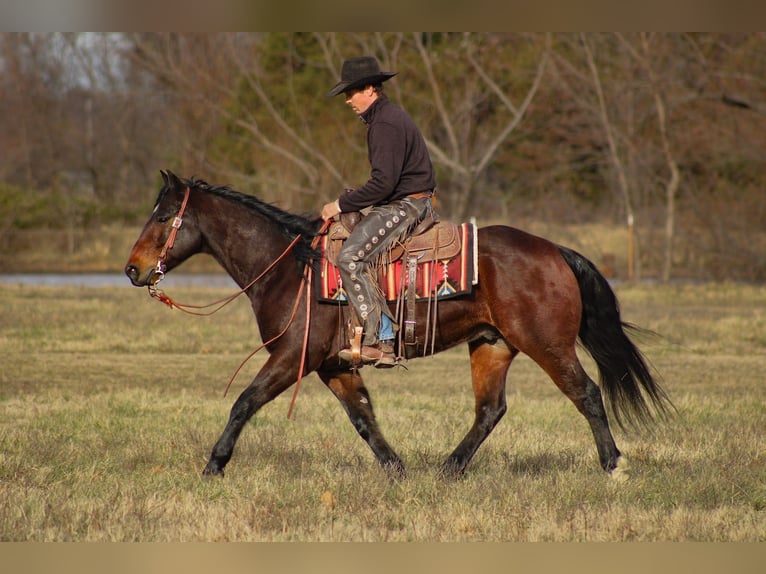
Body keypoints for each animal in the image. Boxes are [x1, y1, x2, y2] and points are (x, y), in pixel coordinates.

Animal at [125, 170, 672, 479]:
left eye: (162, 216)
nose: (132, 269)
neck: (290, 267)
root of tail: (554, 250)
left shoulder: (291, 357)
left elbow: (244, 402)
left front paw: (214, 465)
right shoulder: (334, 365)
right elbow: (364, 418)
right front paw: (397, 470)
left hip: (547, 344)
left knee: (587, 394)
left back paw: (614, 465)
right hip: (492, 345)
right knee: (490, 410)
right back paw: (448, 470)